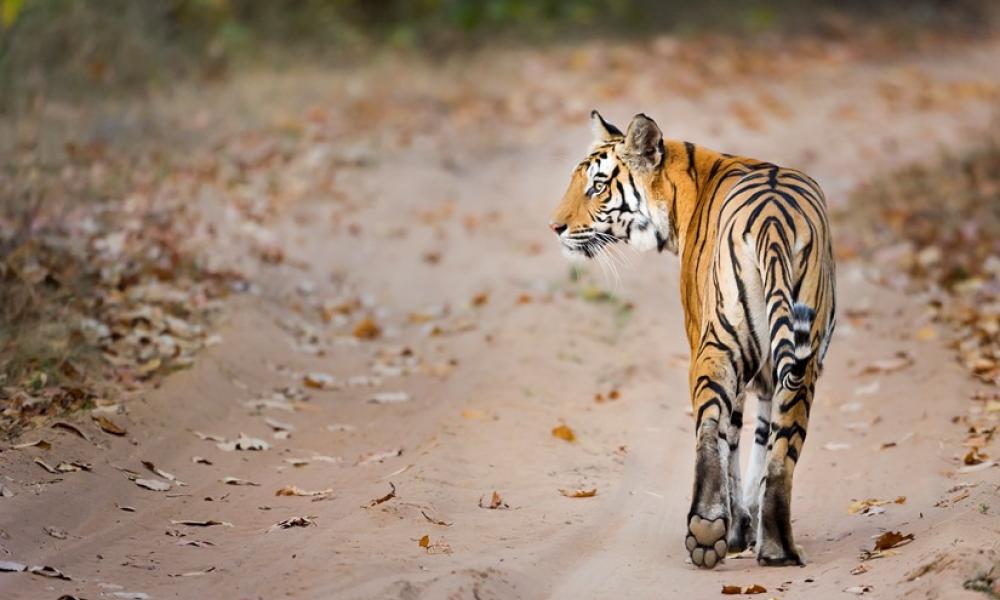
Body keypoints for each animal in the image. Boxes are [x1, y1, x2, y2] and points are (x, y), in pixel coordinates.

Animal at [548, 111, 836, 568]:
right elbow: (760, 442)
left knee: (709, 431)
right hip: (801, 364)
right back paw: (777, 549)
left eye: (597, 186)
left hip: (716, 346)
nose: (555, 226)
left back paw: (706, 531)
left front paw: (735, 531)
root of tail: (773, 223)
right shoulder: (768, 376)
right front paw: (748, 526)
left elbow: (732, 441)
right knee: (782, 452)